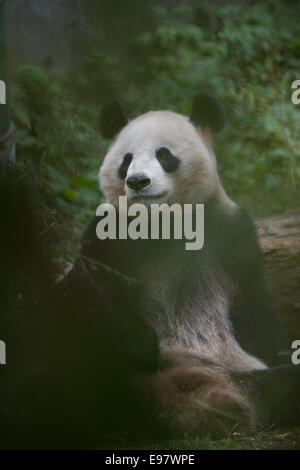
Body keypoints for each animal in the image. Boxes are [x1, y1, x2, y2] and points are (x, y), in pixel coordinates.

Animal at [68, 92, 300, 440]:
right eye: (126, 160)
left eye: (164, 155)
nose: (138, 181)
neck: (163, 222)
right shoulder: (109, 235)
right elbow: (92, 292)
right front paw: (141, 344)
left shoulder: (231, 233)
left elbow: (255, 311)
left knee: (282, 383)